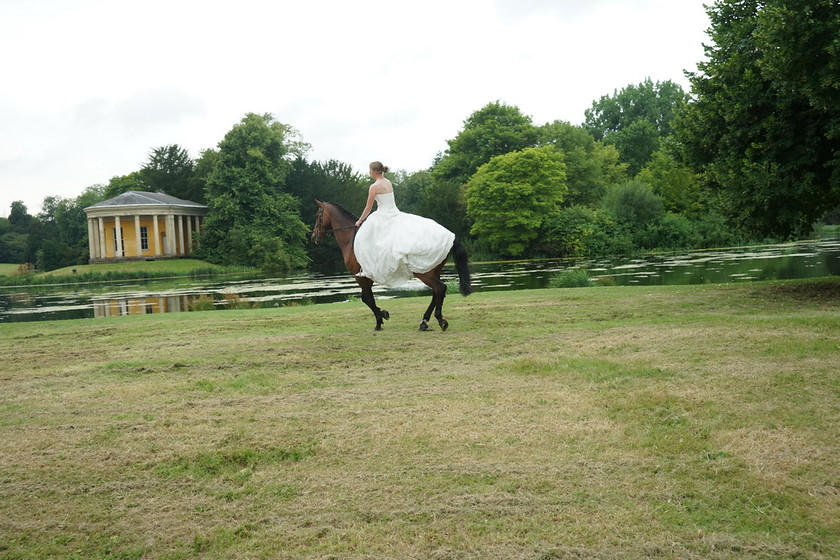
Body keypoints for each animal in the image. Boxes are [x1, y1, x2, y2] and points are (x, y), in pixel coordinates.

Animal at [314, 201, 472, 330]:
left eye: (317, 215)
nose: (313, 236)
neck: (350, 238)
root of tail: (451, 236)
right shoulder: (366, 277)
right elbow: (367, 298)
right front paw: (382, 314)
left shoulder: (360, 276)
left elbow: (367, 299)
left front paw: (380, 319)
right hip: (433, 271)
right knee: (437, 292)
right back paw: (425, 322)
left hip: (423, 273)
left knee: (440, 288)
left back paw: (439, 320)